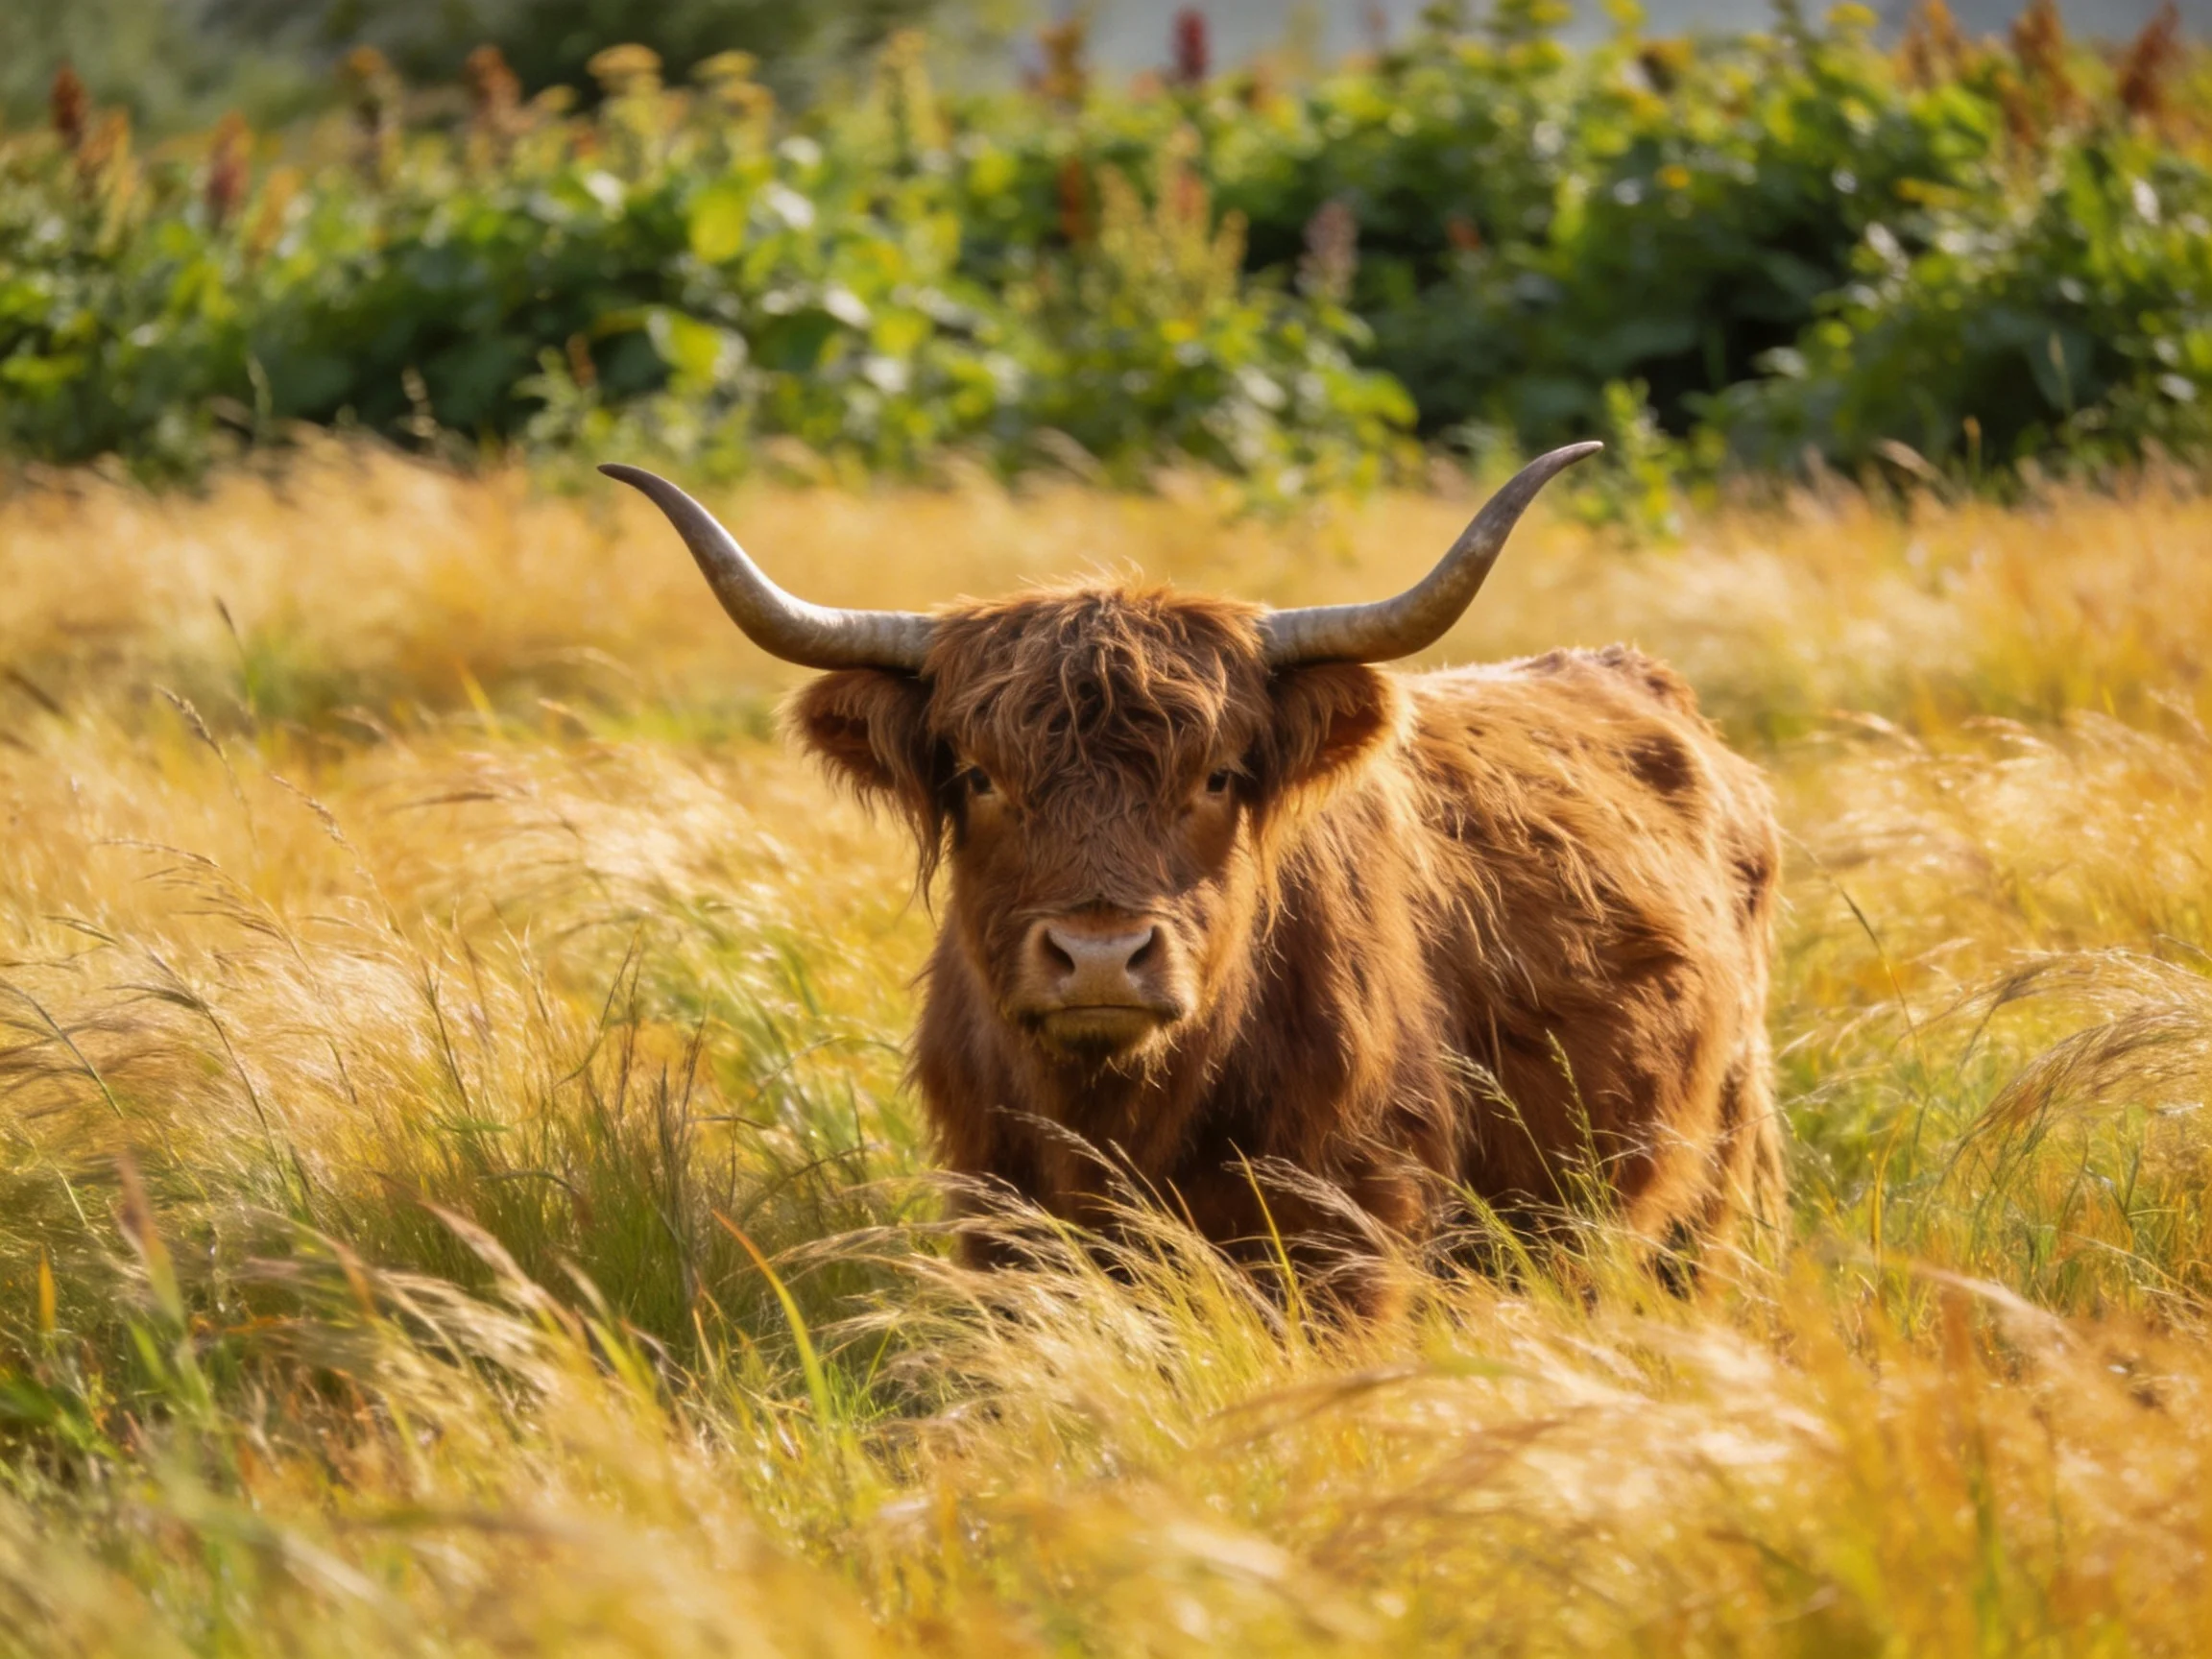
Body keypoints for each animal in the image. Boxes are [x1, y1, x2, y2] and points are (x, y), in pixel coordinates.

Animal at [605, 446, 1785, 1307]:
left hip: (1705, 1191)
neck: (1124, 1115)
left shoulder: (1349, 1231)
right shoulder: (1000, 1218)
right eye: (980, 778)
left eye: (1216, 776)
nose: (1099, 957)